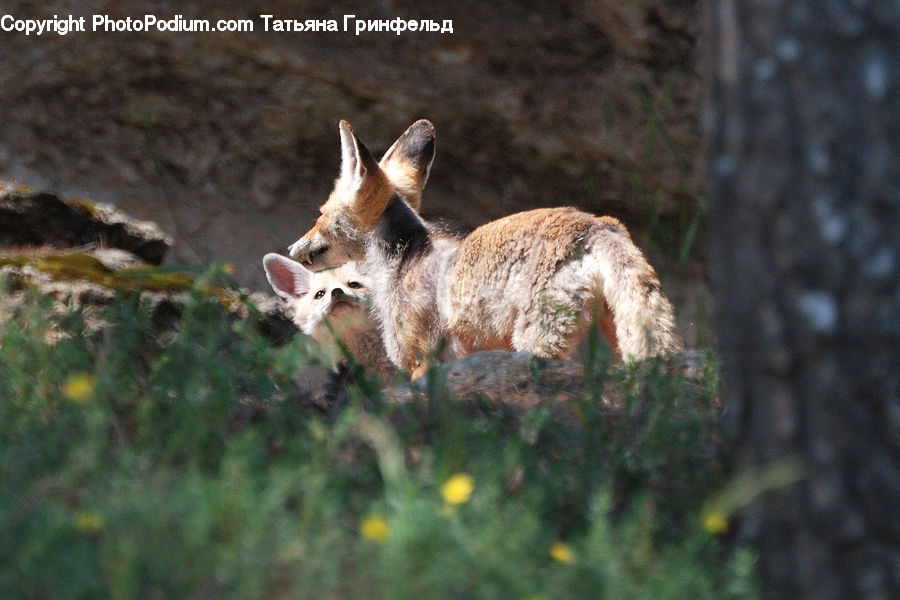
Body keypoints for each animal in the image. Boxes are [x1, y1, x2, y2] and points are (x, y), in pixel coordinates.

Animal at [288, 119, 682, 379]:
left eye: (321, 214)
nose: (293, 247)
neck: (404, 257)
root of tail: (594, 226)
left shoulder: (423, 358)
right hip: (617, 333)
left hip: (535, 341)